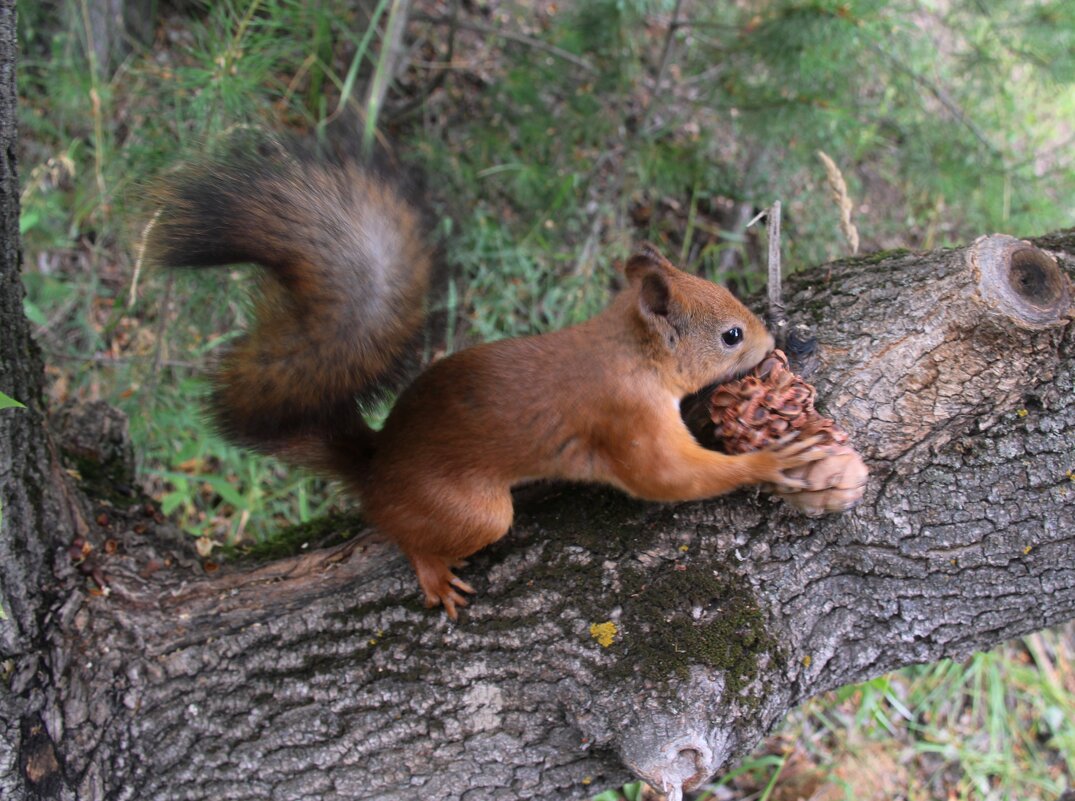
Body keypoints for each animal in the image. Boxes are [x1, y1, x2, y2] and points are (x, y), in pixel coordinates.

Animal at [151, 136, 821, 619]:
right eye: (730, 336)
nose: (770, 342)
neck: (628, 350)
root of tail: (374, 467)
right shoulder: (625, 418)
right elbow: (669, 478)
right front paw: (772, 461)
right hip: (473, 513)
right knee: (408, 535)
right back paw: (431, 571)